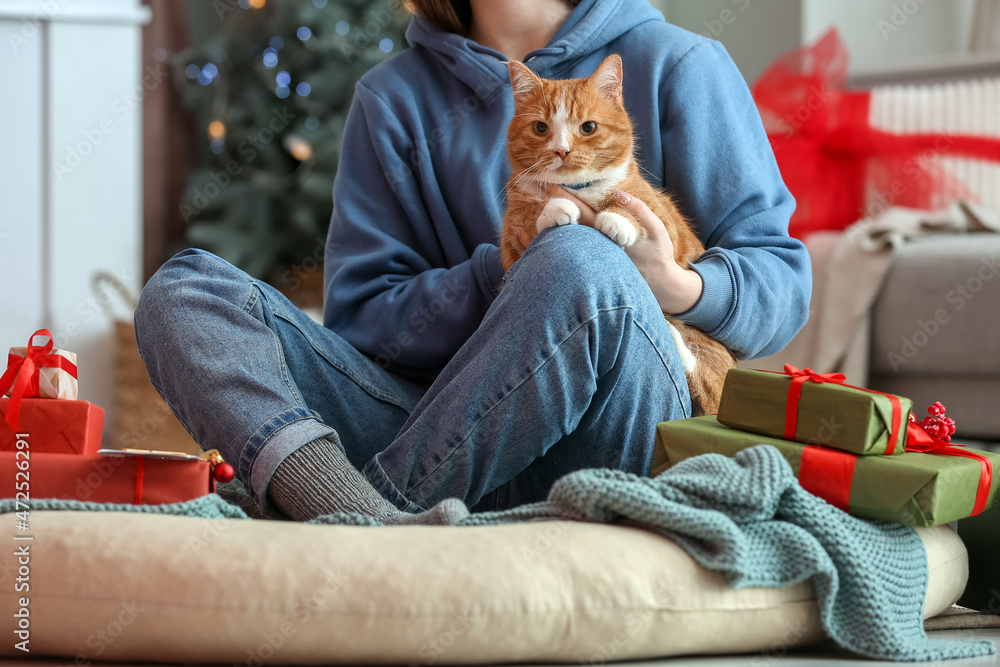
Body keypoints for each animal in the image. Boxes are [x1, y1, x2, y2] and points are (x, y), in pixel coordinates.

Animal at [500, 54, 736, 414]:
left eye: (588, 127)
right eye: (541, 128)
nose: (561, 150)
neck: (579, 190)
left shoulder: (662, 218)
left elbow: (633, 208)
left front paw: (615, 220)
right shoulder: (510, 243)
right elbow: (529, 215)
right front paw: (555, 208)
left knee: (706, 384)